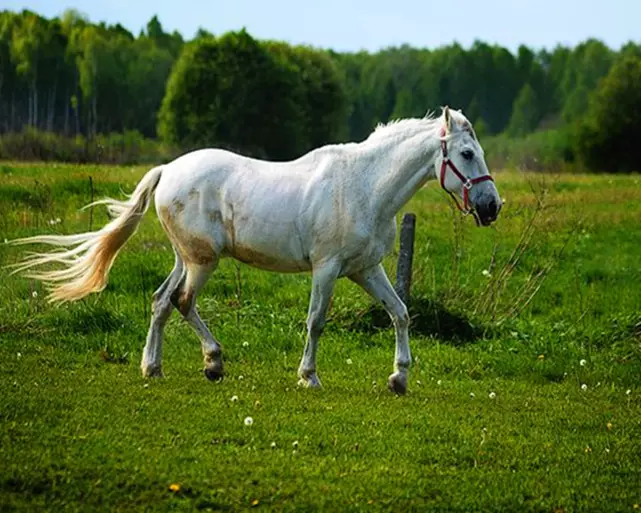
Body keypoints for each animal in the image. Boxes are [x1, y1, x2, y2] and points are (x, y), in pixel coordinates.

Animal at [8, 104, 500, 392]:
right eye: (467, 154)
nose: (492, 206)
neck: (364, 186)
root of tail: (167, 171)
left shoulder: (367, 269)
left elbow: (399, 312)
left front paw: (399, 377)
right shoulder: (327, 268)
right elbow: (316, 322)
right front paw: (308, 377)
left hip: (187, 257)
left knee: (162, 301)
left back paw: (154, 367)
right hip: (203, 261)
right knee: (182, 301)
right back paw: (213, 364)